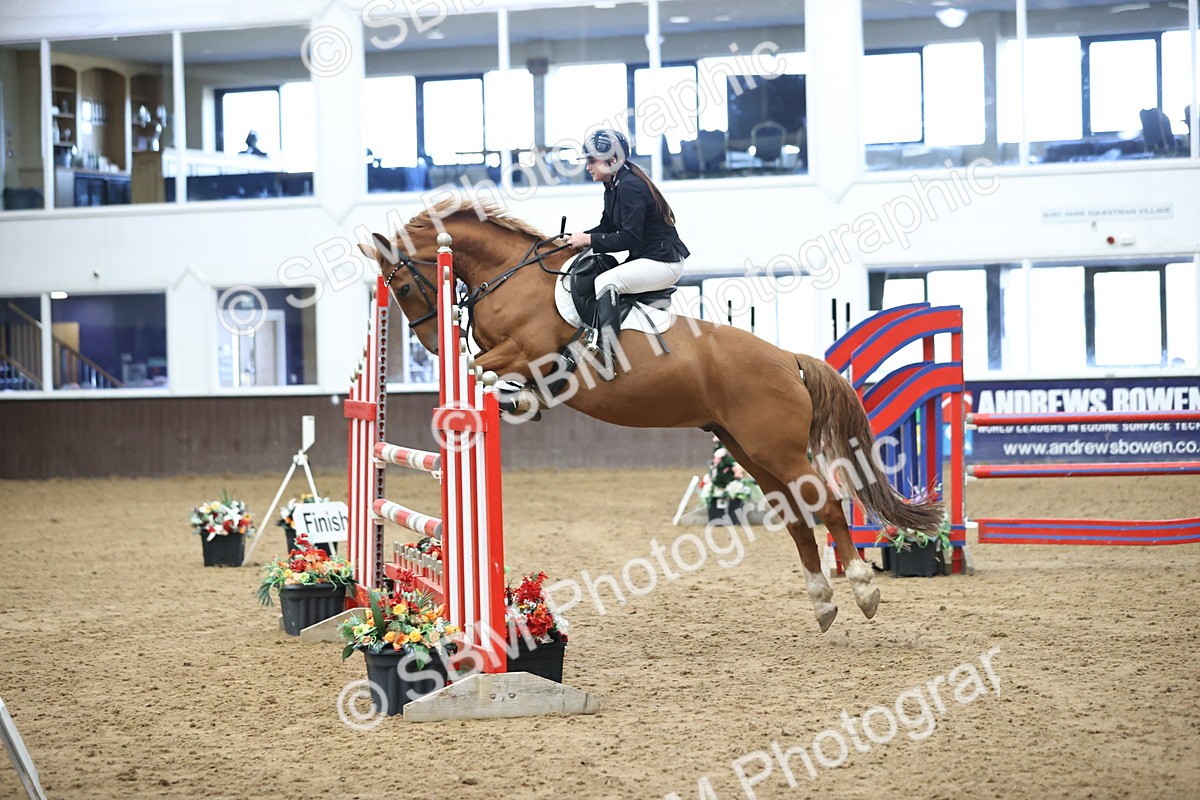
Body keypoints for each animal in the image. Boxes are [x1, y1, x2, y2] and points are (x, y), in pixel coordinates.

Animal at [357, 199, 943, 632]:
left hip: (774, 448)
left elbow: (481, 366)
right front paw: (514, 400)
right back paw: (823, 602)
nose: (436, 346)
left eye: (403, 285)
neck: (510, 277)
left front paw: (503, 395)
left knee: (827, 502)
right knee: (799, 514)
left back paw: (863, 588)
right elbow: (487, 373)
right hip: (748, 450)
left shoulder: (529, 350)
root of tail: (786, 358)